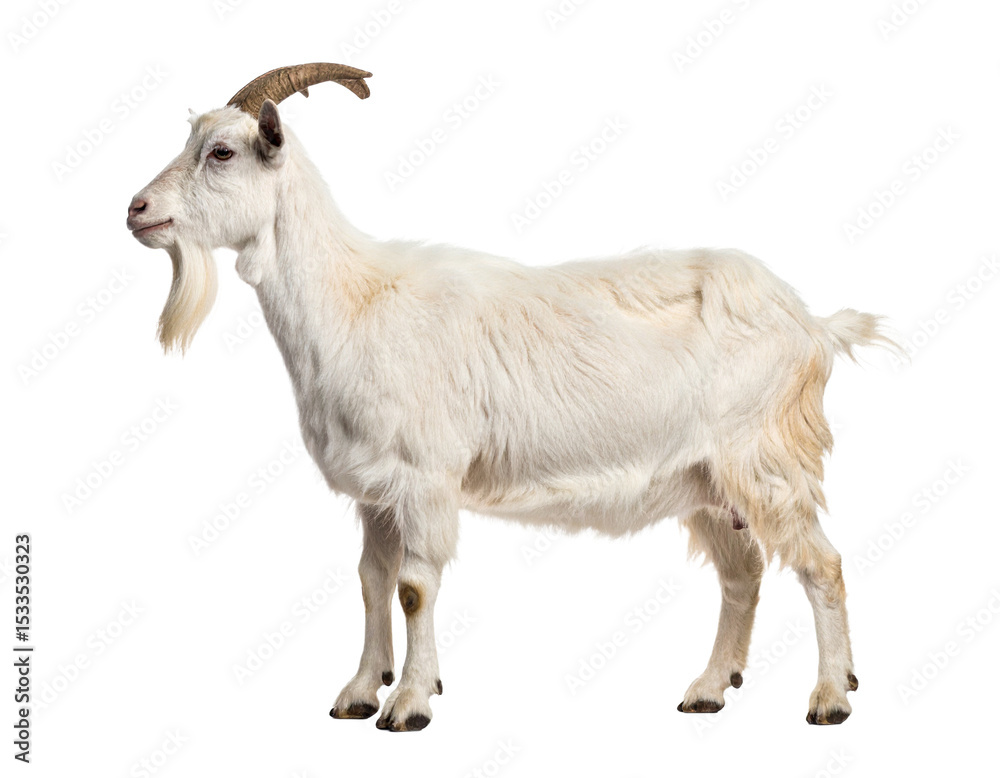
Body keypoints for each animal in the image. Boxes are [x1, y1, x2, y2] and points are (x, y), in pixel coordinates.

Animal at [127, 63, 892, 730]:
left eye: (221, 151)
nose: (136, 209)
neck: (353, 302)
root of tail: (812, 323)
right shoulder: (377, 489)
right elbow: (371, 579)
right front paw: (360, 690)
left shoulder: (426, 476)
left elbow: (413, 587)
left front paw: (409, 703)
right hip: (707, 479)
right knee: (744, 573)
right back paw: (708, 688)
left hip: (765, 457)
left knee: (821, 565)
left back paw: (831, 696)